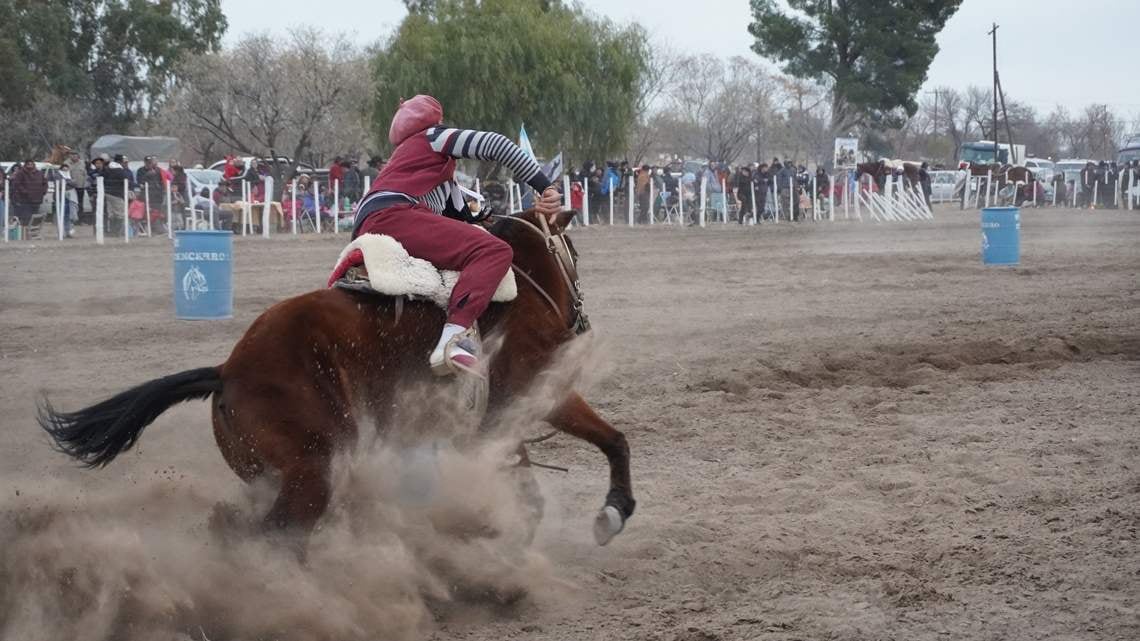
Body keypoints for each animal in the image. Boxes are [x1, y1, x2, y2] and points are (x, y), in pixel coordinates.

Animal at [35, 208, 638, 542]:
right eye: (573, 250)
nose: (580, 319)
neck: (521, 280)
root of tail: (228, 371)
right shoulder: (538, 391)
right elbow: (604, 443)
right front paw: (611, 512)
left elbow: (564, 468)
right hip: (311, 470)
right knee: (269, 539)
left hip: (275, 476)